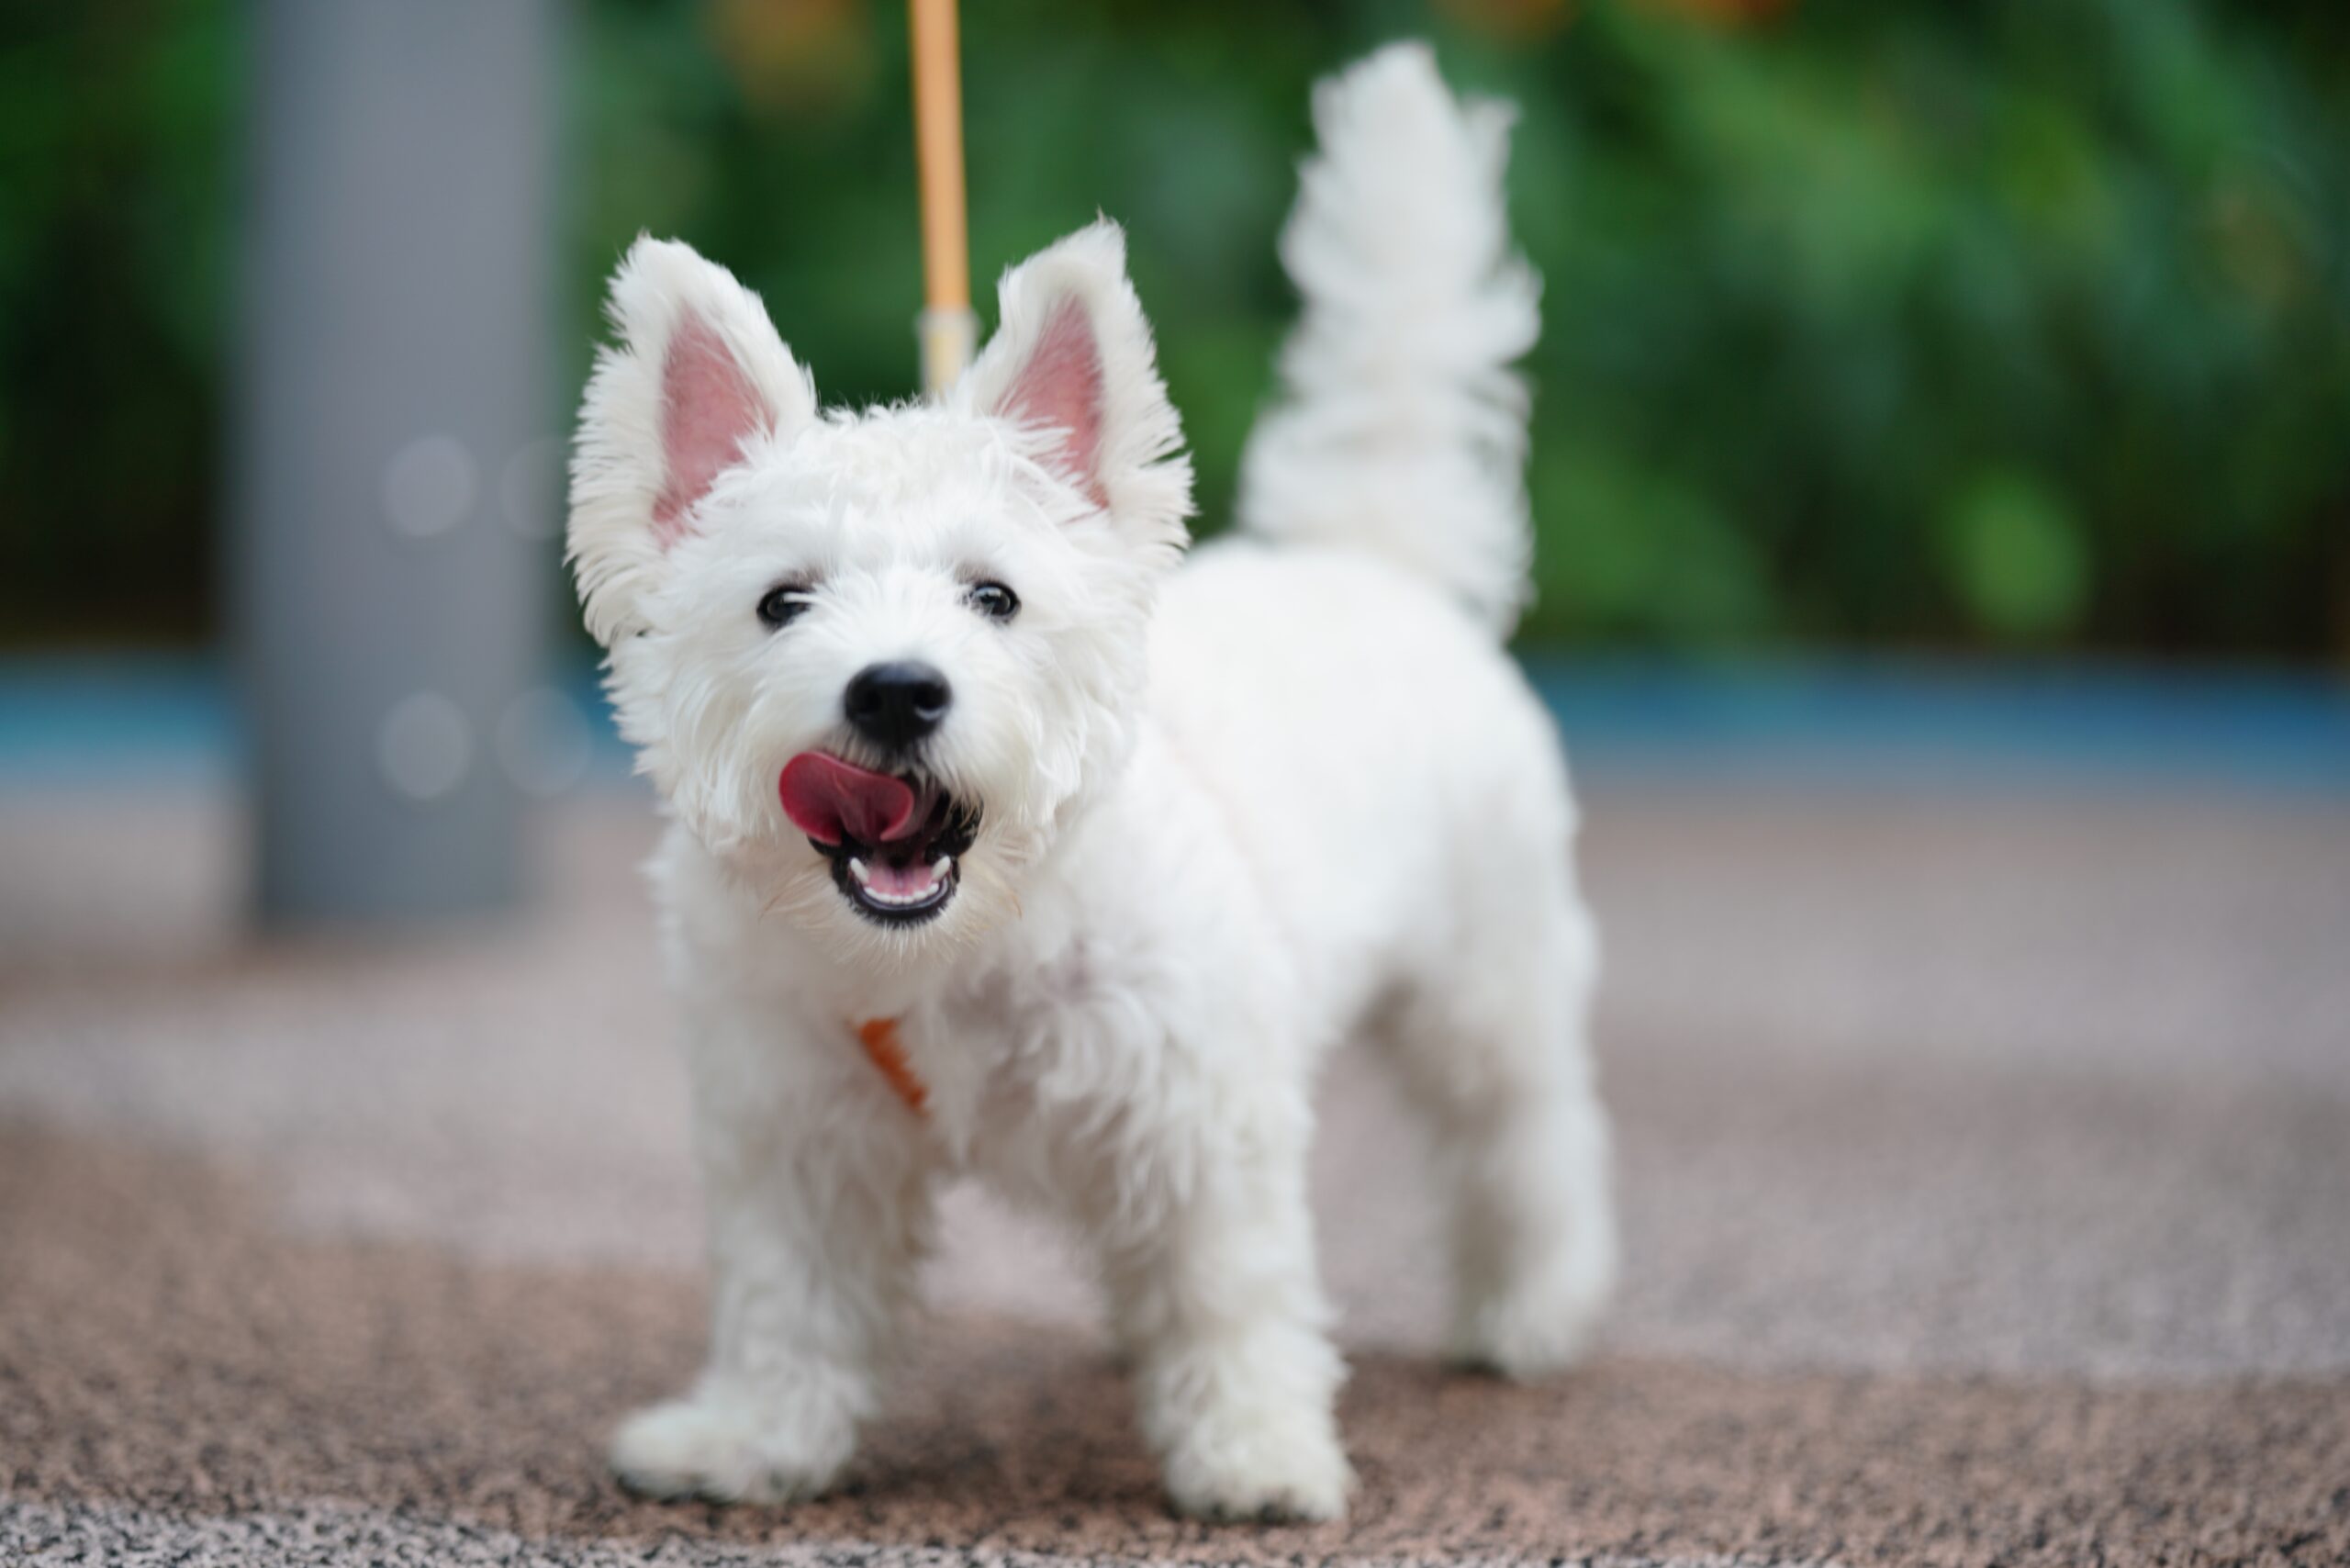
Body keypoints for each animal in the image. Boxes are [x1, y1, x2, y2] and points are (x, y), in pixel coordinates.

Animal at [564, 46, 1617, 1523]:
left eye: (994, 595)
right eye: (782, 601)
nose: (896, 690)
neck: (961, 948)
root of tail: (1368, 557)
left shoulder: (1205, 1120)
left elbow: (1233, 1295)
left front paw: (1255, 1456)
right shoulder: (794, 1135)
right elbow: (790, 1306)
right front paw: (747, 1441)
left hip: (1487, 981)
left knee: (1525, 1142)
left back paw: (1529, 1314)